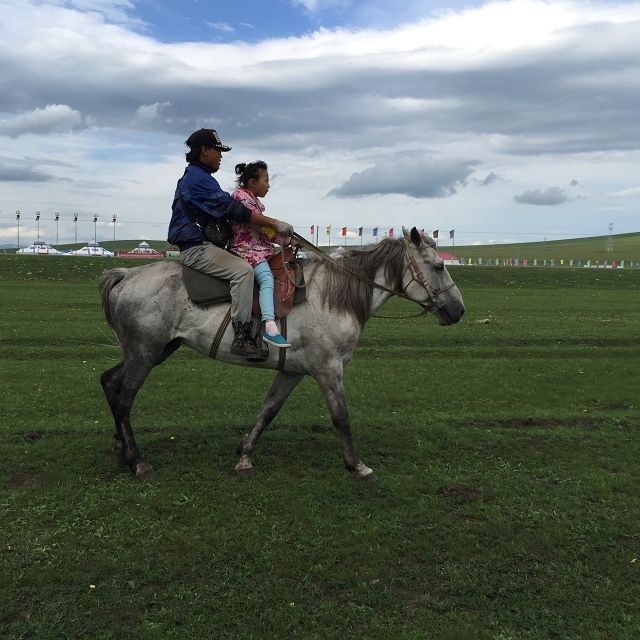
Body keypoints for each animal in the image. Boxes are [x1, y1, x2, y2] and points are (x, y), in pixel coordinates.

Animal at [98, 226, 465, 480]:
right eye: (437, 267)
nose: (458, 310)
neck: (333, 297)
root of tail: (126, 274)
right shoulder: (329, 370)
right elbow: (341, 417)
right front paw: (356, 465)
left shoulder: (292, 371)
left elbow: (268, 410)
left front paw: (245, 455)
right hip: (145, 354)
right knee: (124, 399)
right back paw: (137, 461)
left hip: (151, 351)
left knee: (110, 383)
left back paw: (120, 450)